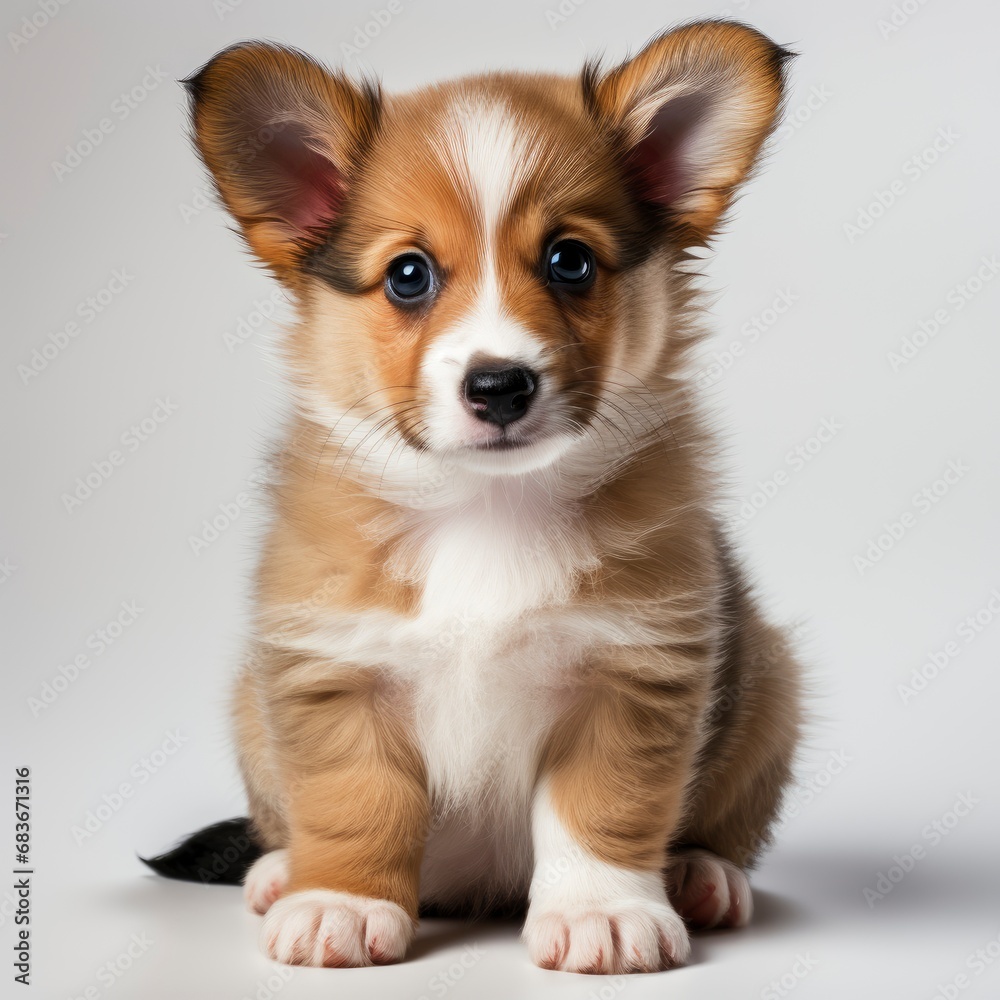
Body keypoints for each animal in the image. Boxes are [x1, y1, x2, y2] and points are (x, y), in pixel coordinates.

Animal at [148, 21, 804, 976]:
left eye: (570, 261)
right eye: (408, 275)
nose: (499, 386)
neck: (486, 508)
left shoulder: (631, 673)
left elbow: (599, 808)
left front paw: (603, 912)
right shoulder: (333, 672)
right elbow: (355, 802)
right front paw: (342, 902)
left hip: (772, 691)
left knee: (722, 829)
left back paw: (699, 873)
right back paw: (277, 871)